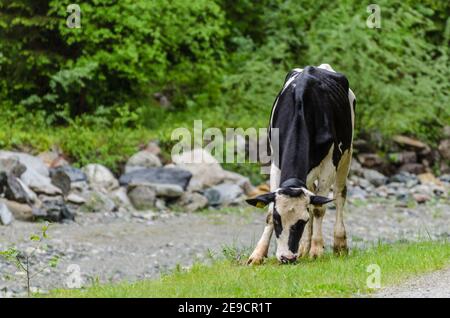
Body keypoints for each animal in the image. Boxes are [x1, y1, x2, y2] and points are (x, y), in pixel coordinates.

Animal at [246, 63, 356, 264]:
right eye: (277, 220)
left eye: (301, 222)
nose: (287, 257)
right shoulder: (275, 163)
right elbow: (270, 210)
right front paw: (258, 254)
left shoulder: (329, 164)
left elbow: (319, 208)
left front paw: (317, 250)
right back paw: (305, 247)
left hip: (347, 152)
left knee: (339, 195)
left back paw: (339, 244)